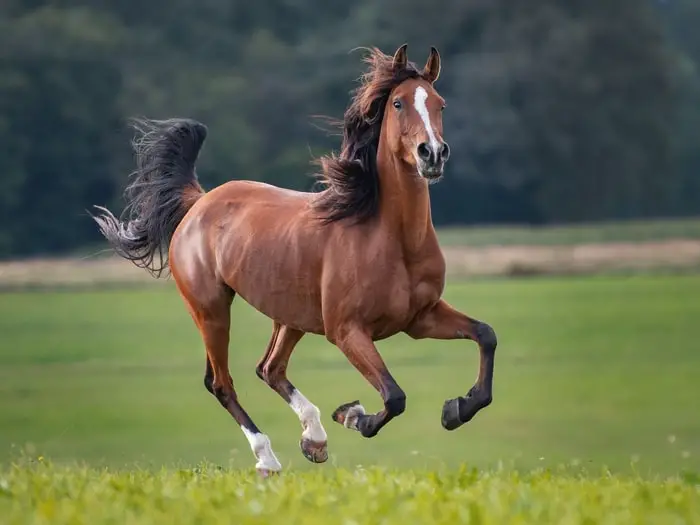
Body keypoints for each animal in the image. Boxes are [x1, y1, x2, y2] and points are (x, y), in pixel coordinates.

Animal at [91, 44, 498, 474]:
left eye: (440, 104)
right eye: (399, 103)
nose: (432, 153)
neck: (390, 238)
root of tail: (199, 203)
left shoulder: (420, 318)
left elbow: (485, 335)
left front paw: (456, 409)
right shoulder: (347, 331)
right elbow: (394, 396)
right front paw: (353, 416)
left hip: (290, 316)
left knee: (269, 368)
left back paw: (314, 439)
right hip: (211, 310)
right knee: (221, 382)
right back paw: (268, 459)